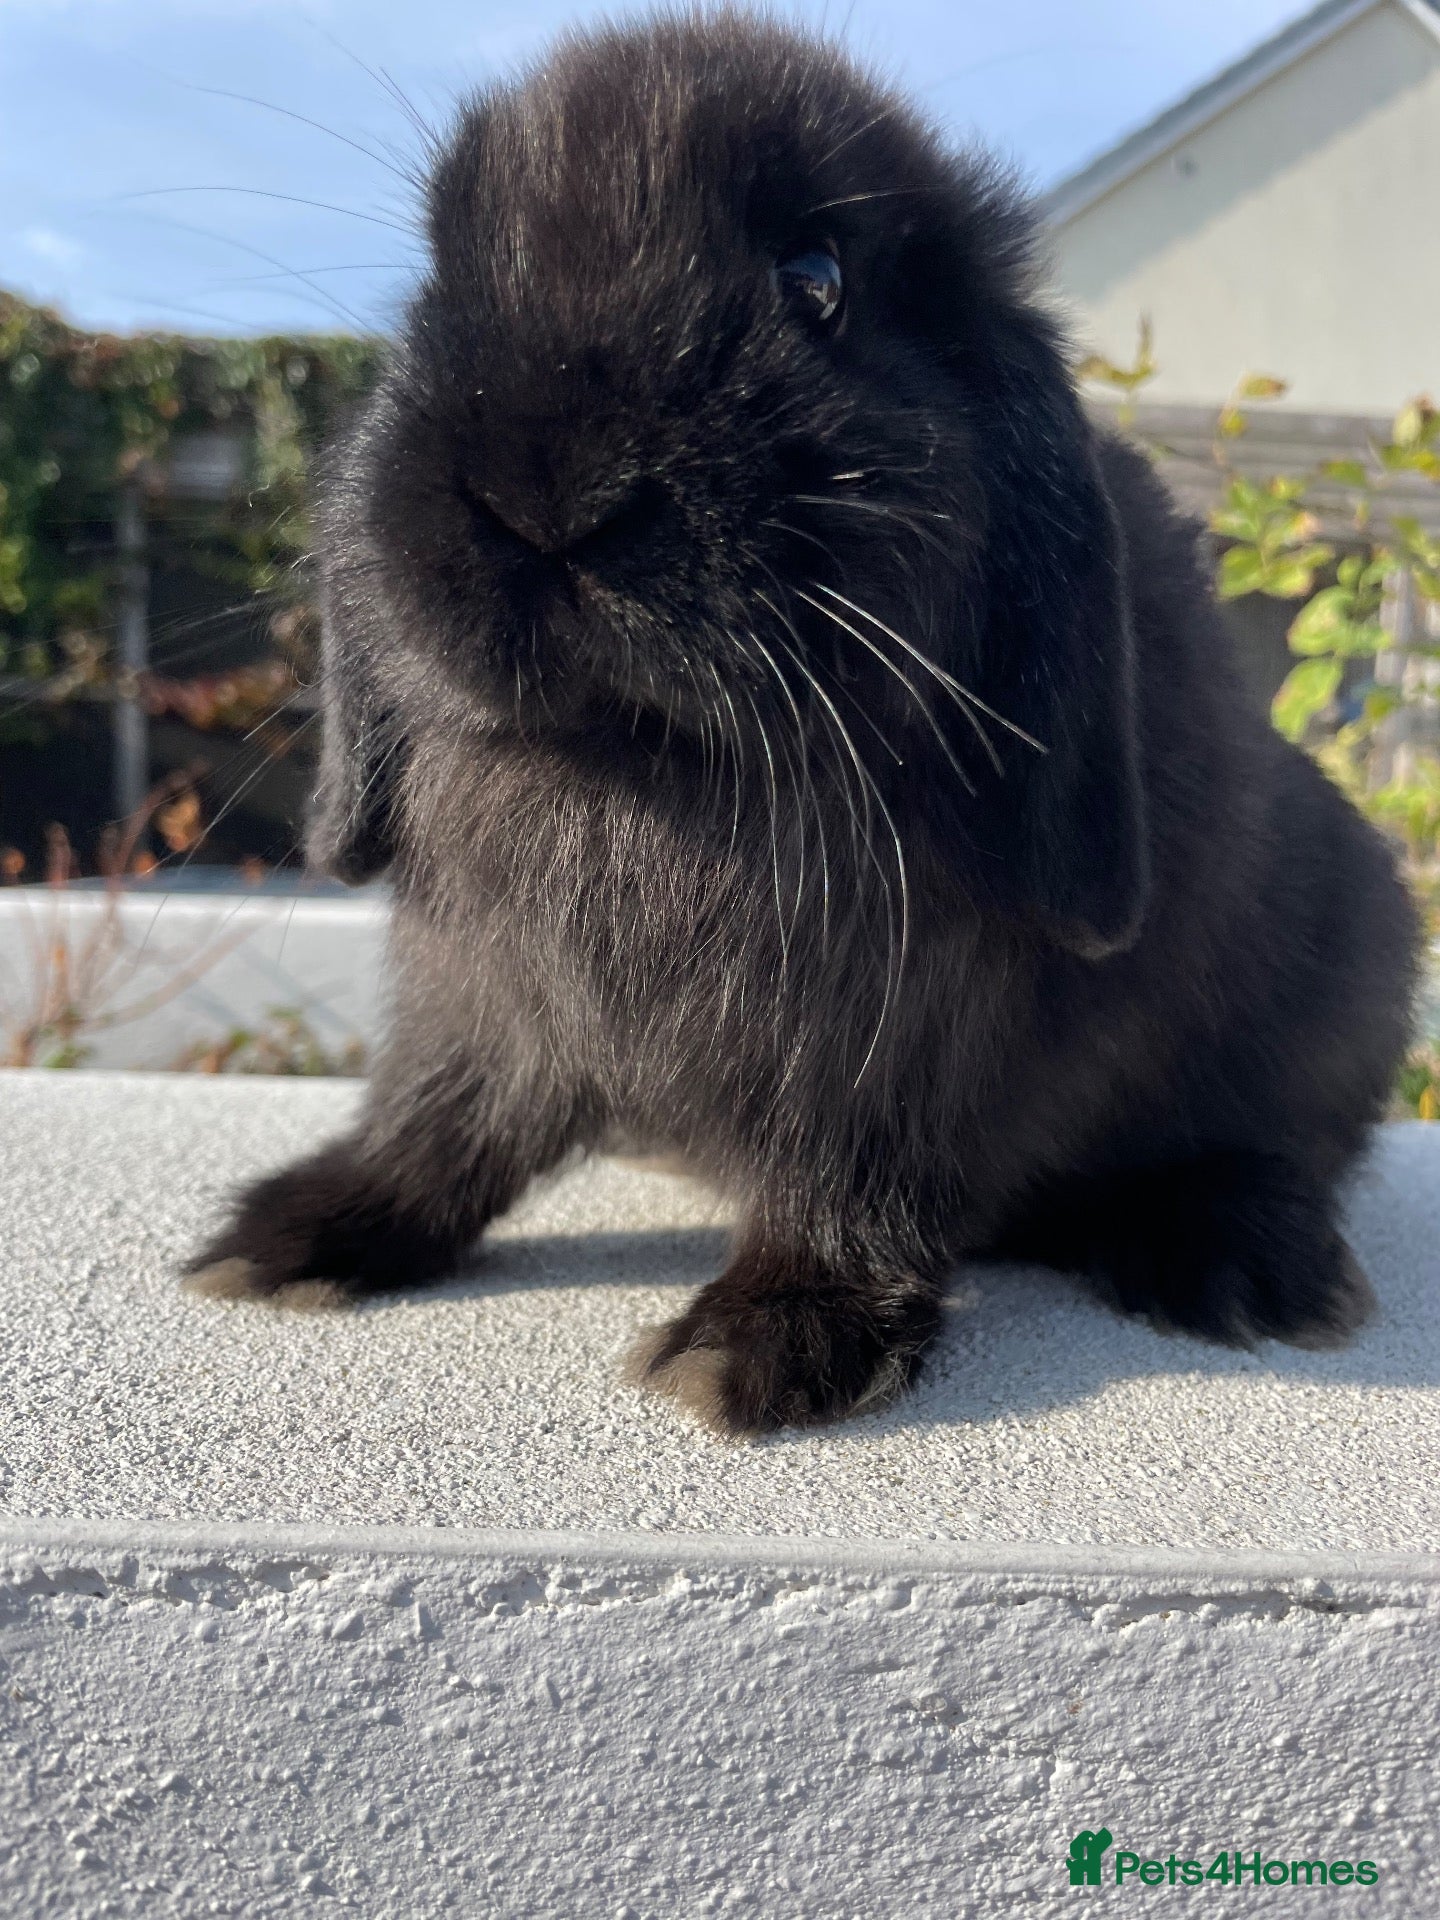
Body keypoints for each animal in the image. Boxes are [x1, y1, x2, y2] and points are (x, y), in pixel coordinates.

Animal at [185, 12, 1421, 1436]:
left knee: (1282, 1146)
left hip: (1338, 987)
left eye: (816, 279)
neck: (640, 764)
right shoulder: (481, 993)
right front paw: (286, 1239)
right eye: (439, 275)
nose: (545, 494)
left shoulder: (900, 1034)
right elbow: (440, 1124)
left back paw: (1242, 1269)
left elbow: (849, 1183)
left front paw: (762, 1347)